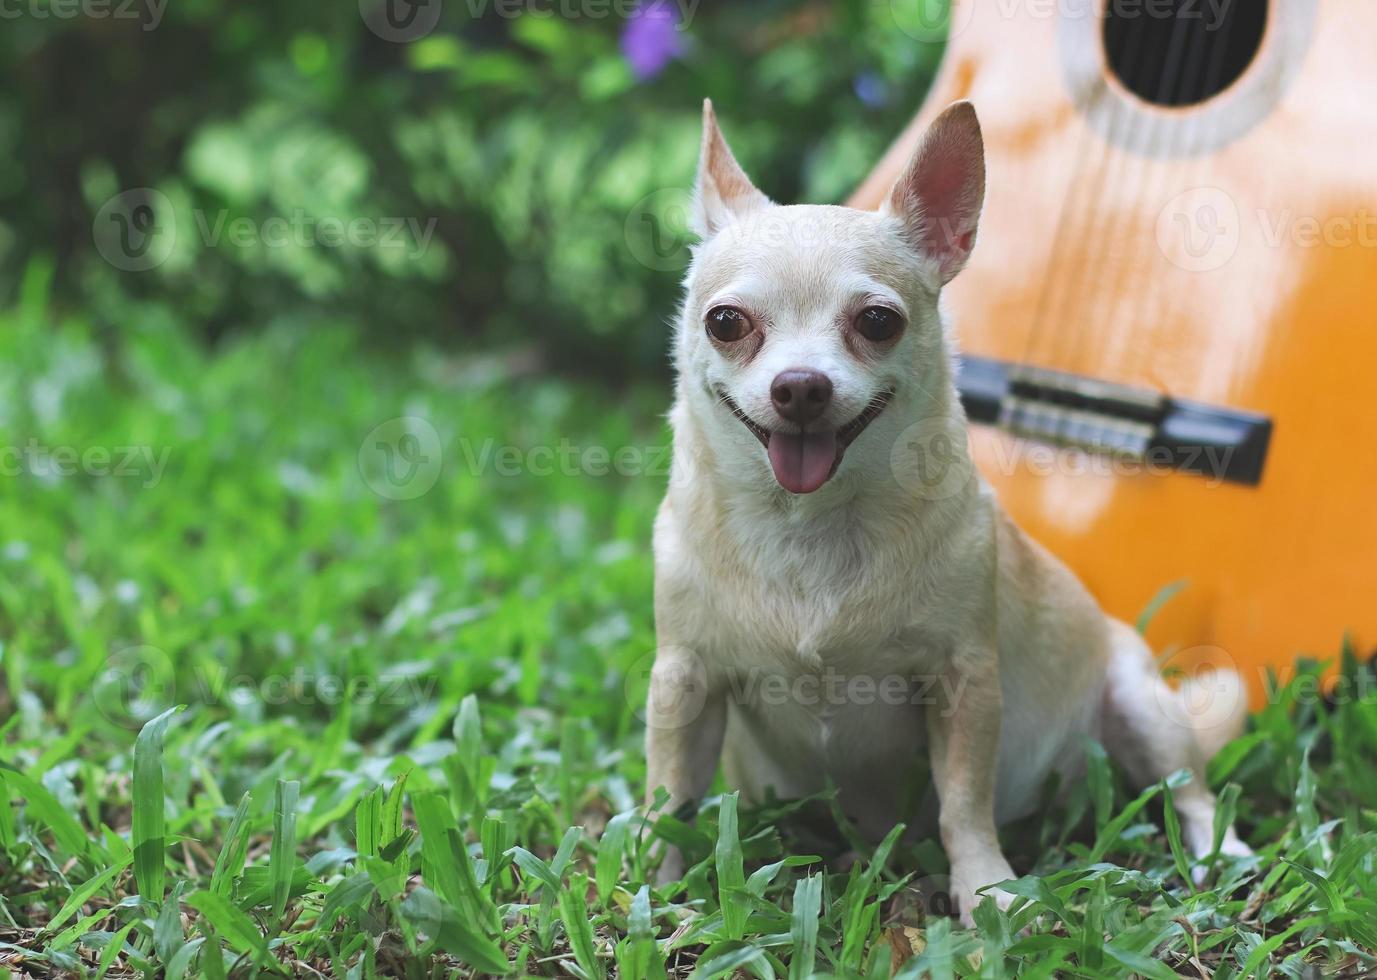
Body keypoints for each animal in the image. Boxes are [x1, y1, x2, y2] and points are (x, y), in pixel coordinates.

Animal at [644, 103, 1250, 924]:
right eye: (726, 323)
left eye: (877, 322)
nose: (799, 385)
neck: (812, 525)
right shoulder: (685, 682)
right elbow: (667, 798)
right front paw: (658, 887)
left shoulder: (962, 684)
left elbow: (963, 802)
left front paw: (987, 889)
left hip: (1142, 706)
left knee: (1188, 790)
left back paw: (1223, 852)